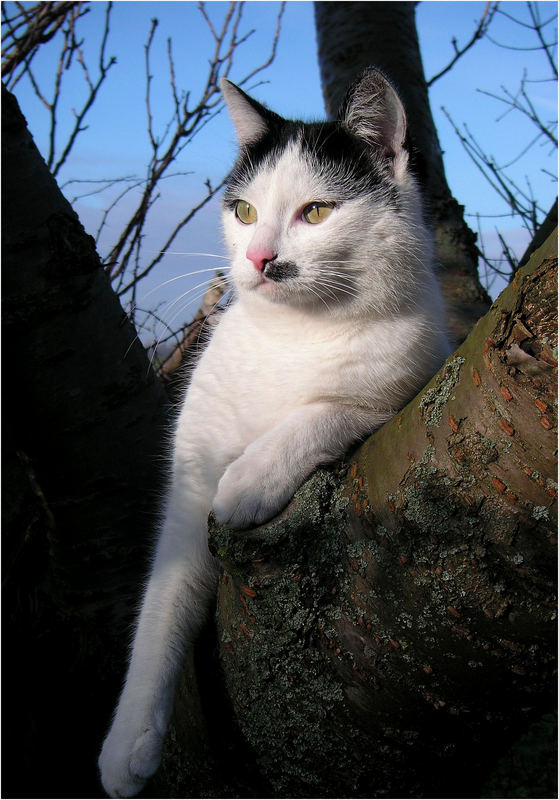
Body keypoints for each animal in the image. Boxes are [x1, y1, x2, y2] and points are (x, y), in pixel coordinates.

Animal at [99, 70, 450, 800]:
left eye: (315, 212)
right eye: (243, 212)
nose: (260, 259)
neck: (294, 335)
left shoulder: (407, 384)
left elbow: (324, 411)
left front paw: (248, 483)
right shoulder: (188, 480)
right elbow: (162, 602)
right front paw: (128, 743)